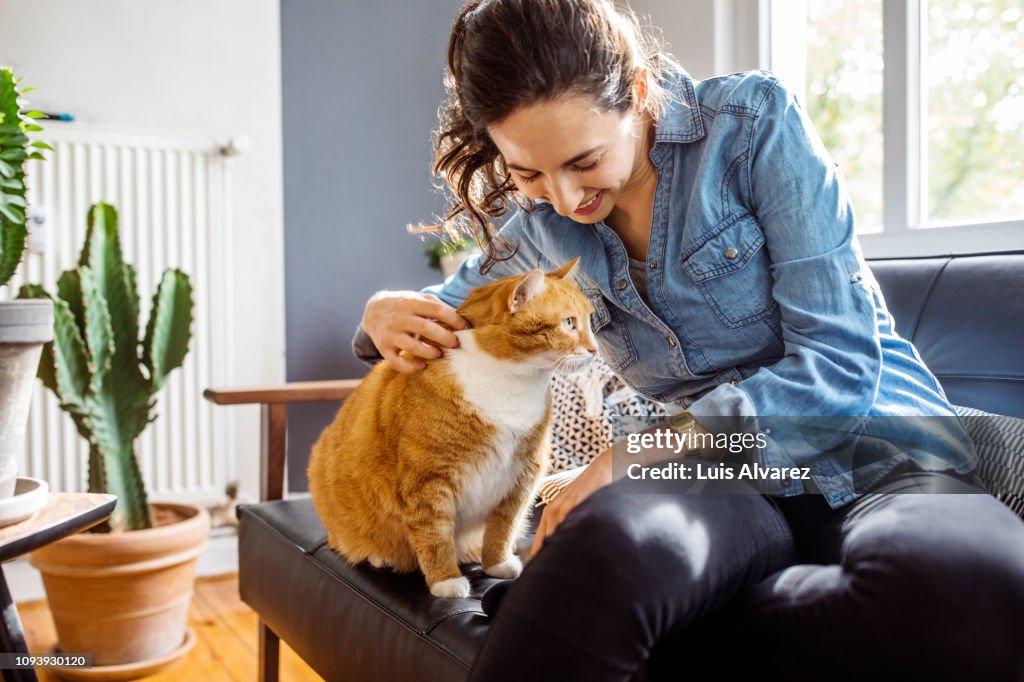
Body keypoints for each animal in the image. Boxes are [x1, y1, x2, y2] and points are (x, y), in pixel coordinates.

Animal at [305, 259, 593, 593]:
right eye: (569, 323)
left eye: (589, 321)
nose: (595, 350)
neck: (510, 382)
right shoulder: (429, 478)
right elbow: (434, 534)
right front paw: (446, 581)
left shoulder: (523, 474)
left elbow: (503, 527)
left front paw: (497, 563)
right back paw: (379, 555)